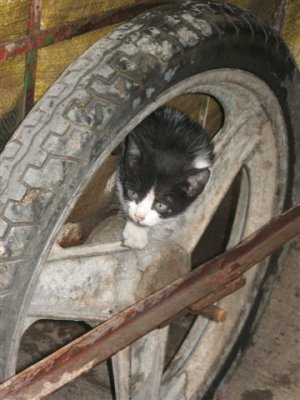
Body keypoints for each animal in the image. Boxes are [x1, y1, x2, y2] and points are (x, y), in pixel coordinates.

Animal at [117, 108, 213, 248]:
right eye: (132, 193)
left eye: (161, 205)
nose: (139, 217)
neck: (174, 147)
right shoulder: (121, 171)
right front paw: (136, 232)